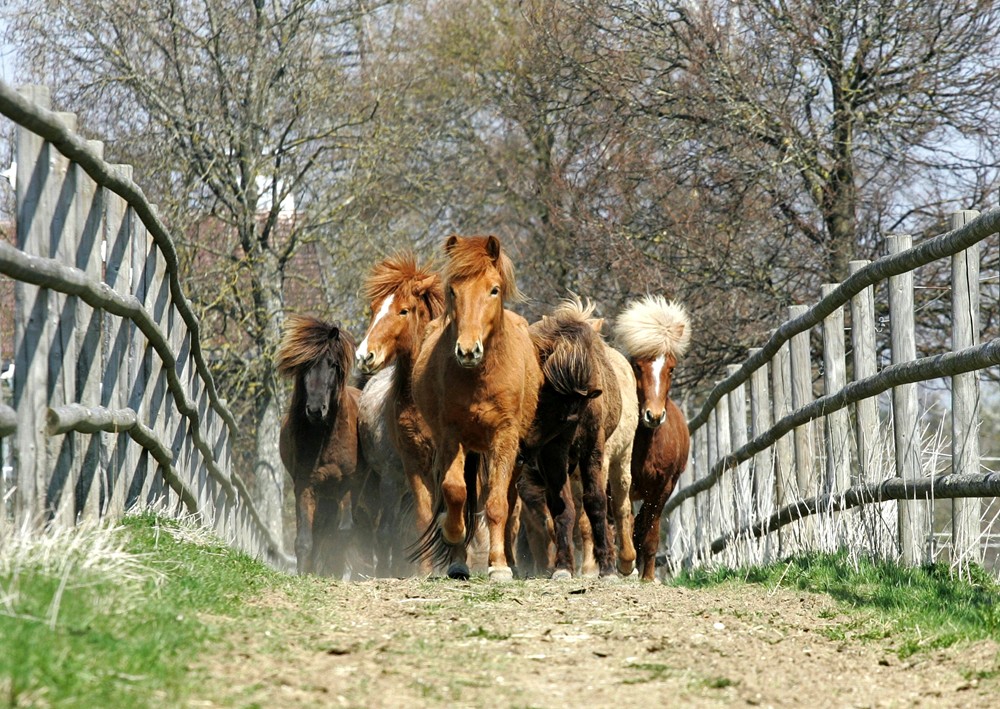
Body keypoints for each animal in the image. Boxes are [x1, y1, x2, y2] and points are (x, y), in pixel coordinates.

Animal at [276, 316, 366, 576]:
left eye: (333, 365)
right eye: (304, 365)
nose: (316, 410)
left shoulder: (347, 485)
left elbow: (342, 533)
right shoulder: (305, 485)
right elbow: (305, 540)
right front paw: (305, 573)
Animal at [354, 254, 444, 576]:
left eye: (404, 310)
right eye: (373, 309)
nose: (364, 356)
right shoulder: (414, 467)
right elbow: (424, 519)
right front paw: (425, 571)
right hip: (390, 483)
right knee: (386, 530)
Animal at [412, 235, 544, 580]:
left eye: (493, 290)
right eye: (453, 290)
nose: (468, 351)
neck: (480, 376)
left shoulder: (505, 438)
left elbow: (497, 504)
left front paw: (498, 566)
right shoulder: (451, 437)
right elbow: (455, 491)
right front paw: (453, 534)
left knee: (507, 501)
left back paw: (506, 559)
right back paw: (458, 559)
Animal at [612, 294, 692, 580]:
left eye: (671, 369)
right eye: (637, 365)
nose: (653, 416)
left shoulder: (661, 489)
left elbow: (650, 534)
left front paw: (647, 577)